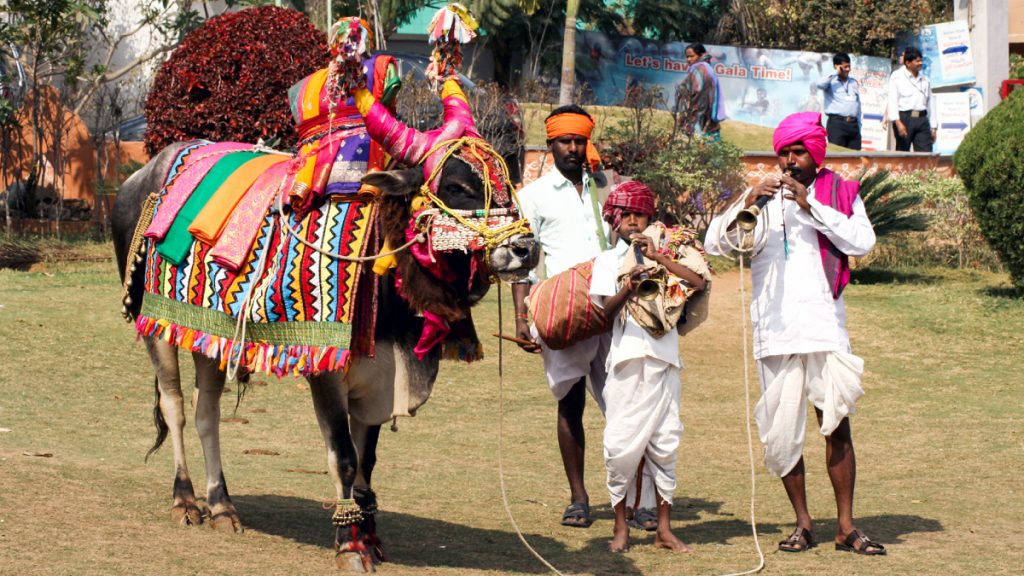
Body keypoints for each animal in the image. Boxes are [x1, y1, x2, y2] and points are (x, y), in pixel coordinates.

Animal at [112, 14, 540, 569]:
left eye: (505, 179)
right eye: (458, 186)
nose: (526, 249)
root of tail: (143, 172)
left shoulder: (381, 377)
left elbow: (369, 460)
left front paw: (370, 535)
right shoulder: (325, 370)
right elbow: (343, 455)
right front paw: (349, 545)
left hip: (206, 335)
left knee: (208, 411)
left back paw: (222, 504)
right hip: (154, 327)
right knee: (175, 405)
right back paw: (185, 499)